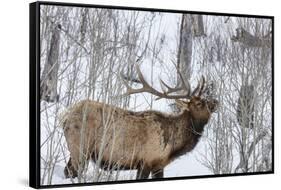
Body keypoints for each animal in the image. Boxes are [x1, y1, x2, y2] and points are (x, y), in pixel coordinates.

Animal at [59, 65, 218, 180]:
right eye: (199, 103)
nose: (216, 101)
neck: (172, 146)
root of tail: (65, 116)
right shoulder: (146, 161)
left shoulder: (158, 165)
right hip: (79, 147)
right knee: (71, 172)